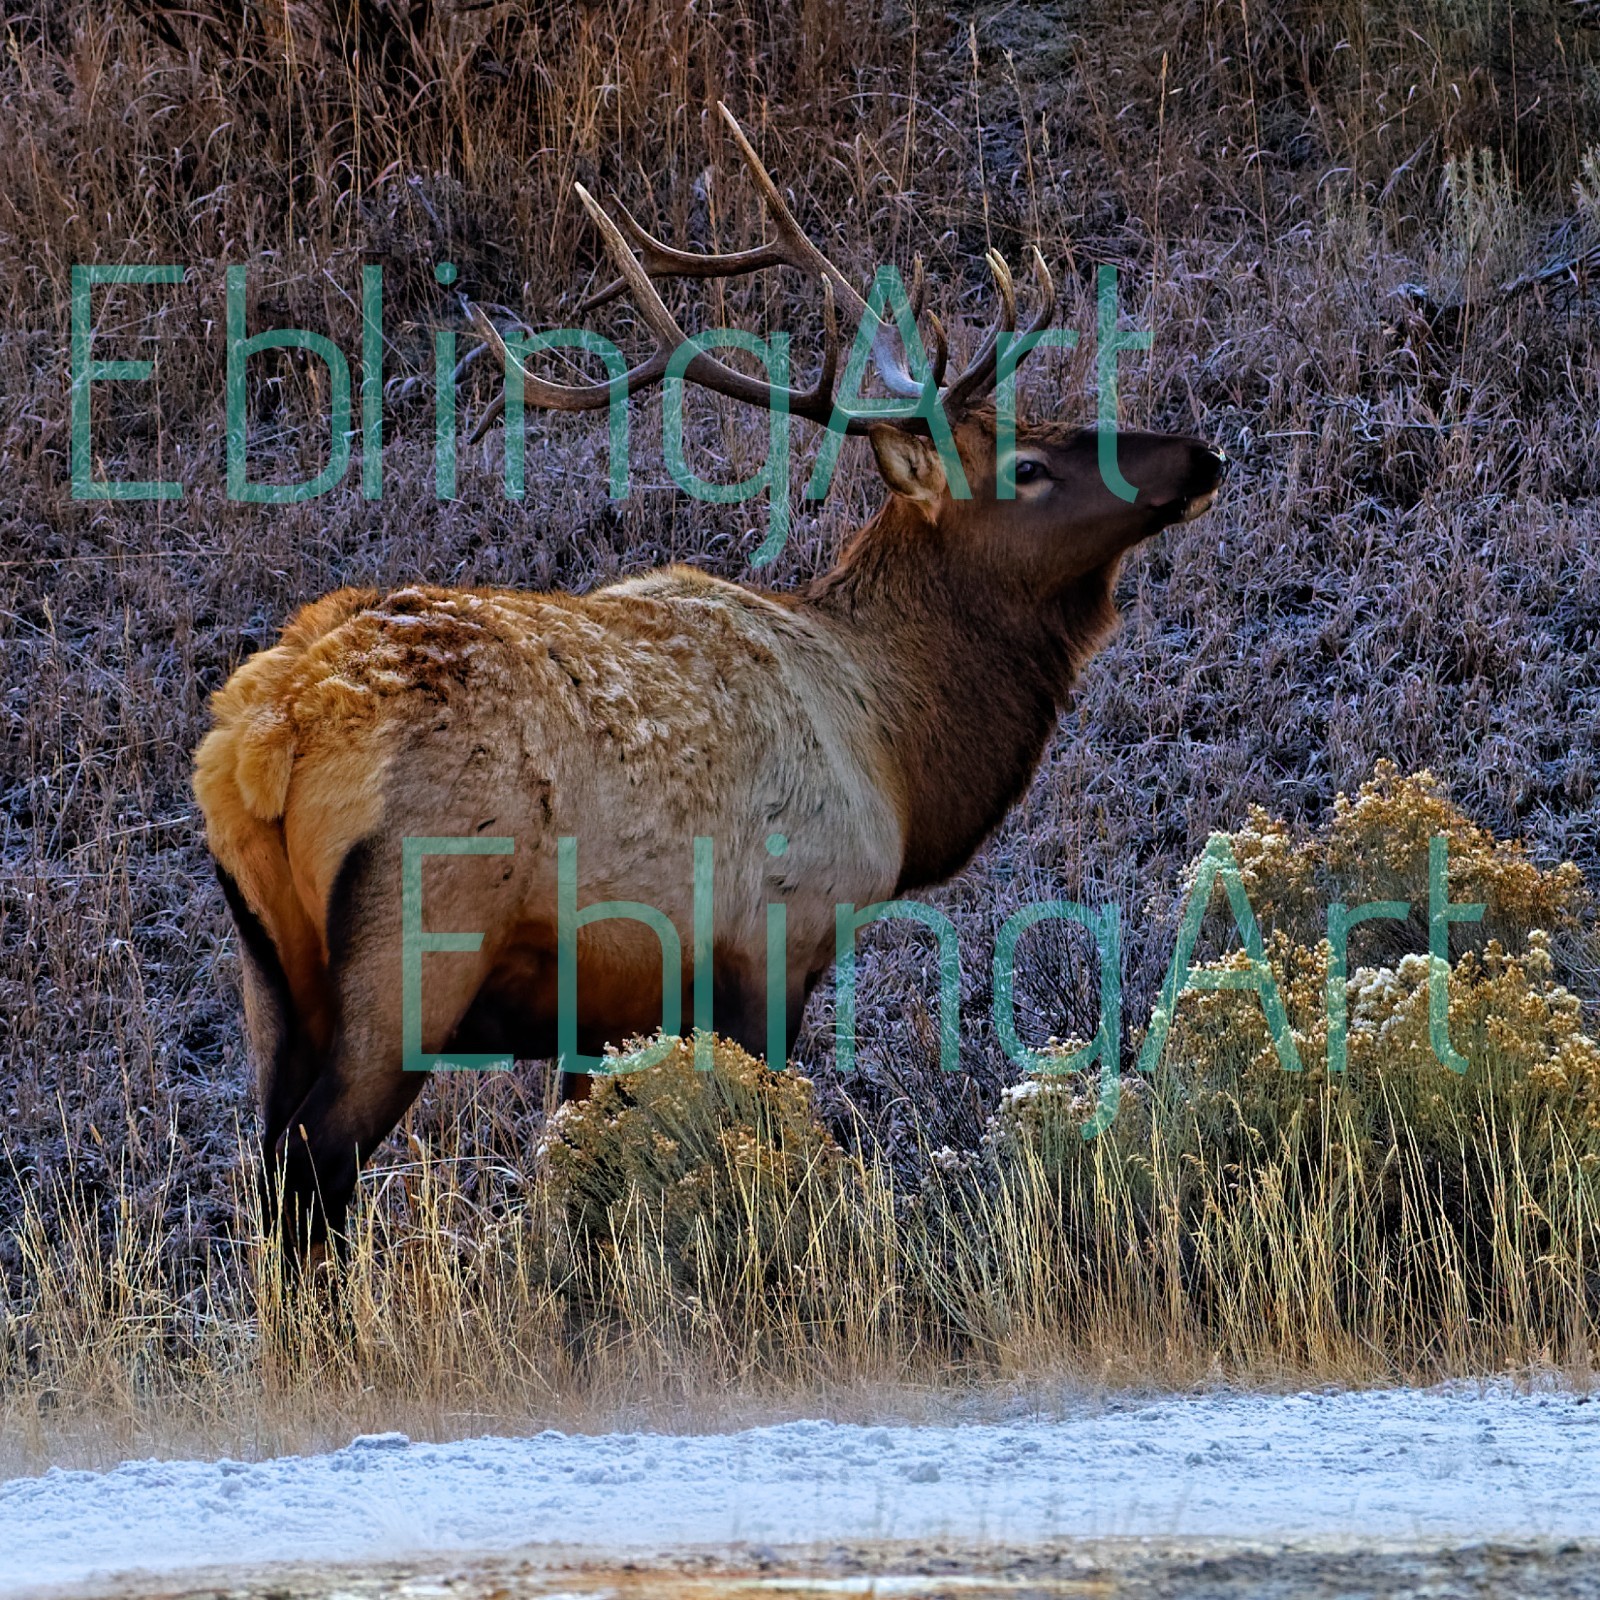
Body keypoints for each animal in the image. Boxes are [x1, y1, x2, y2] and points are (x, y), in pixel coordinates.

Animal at [192, 107, 1226, 1260]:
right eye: (1029, 469)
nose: (1200, 455)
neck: (897, 756)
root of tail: (264, 734)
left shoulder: (611, 1005)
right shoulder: (778, 935)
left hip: (269, 969)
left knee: (266, 1164)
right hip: (413, 948)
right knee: (312, 1165)